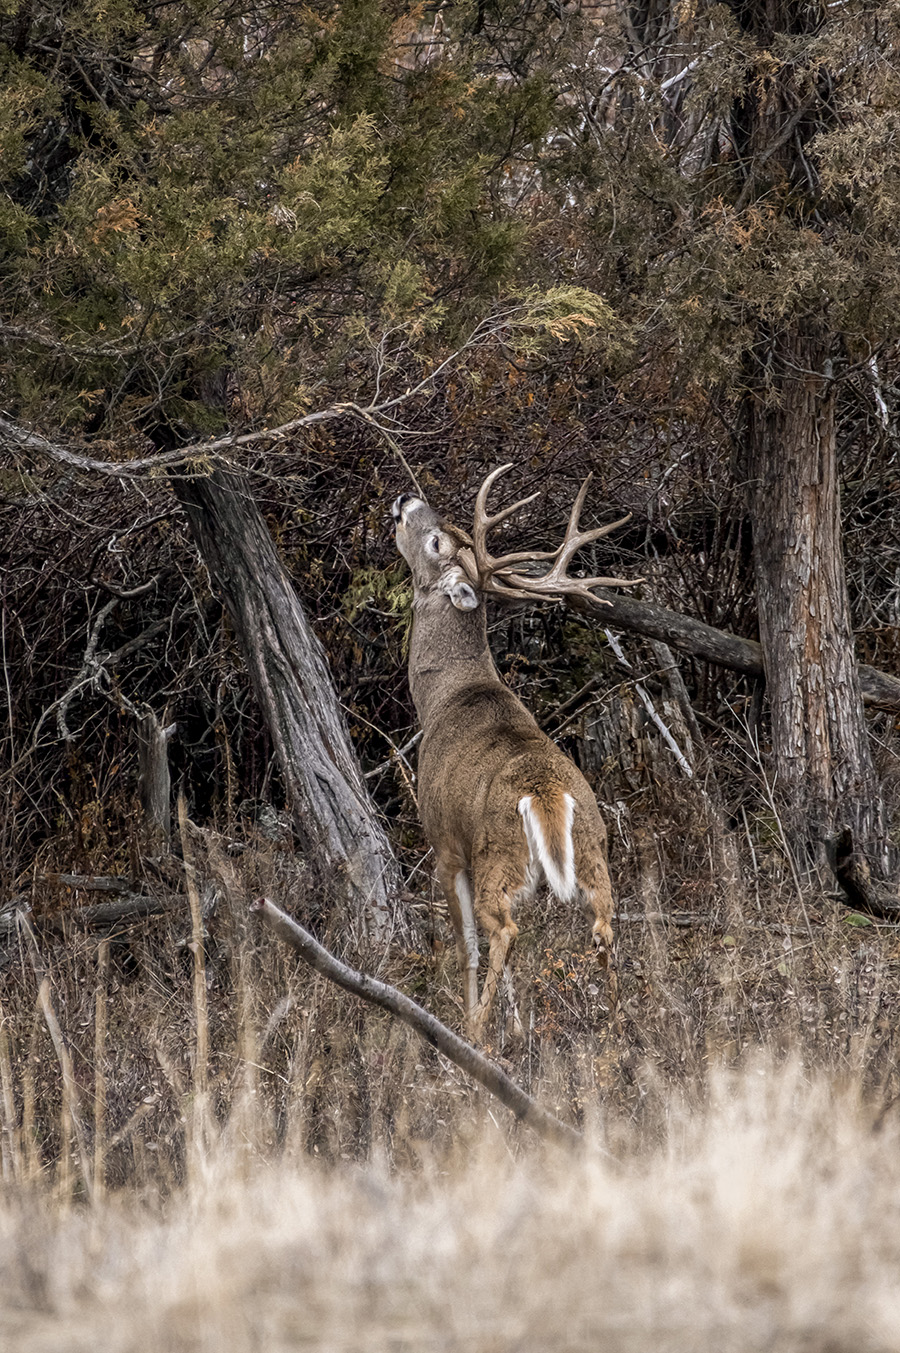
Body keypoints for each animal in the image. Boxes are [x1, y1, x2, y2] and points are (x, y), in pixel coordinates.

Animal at [392, 464, 638, 1043]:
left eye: (436, 542)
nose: (406, 498)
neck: (445, 696)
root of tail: (546, 794)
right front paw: (519, 1025)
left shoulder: (444, 842)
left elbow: (467, 947)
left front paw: (477, 1015)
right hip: (594, 849)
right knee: (603, 925)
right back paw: (619, 1028)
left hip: (496, 857)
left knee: (503, 931)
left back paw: (473, 1033)